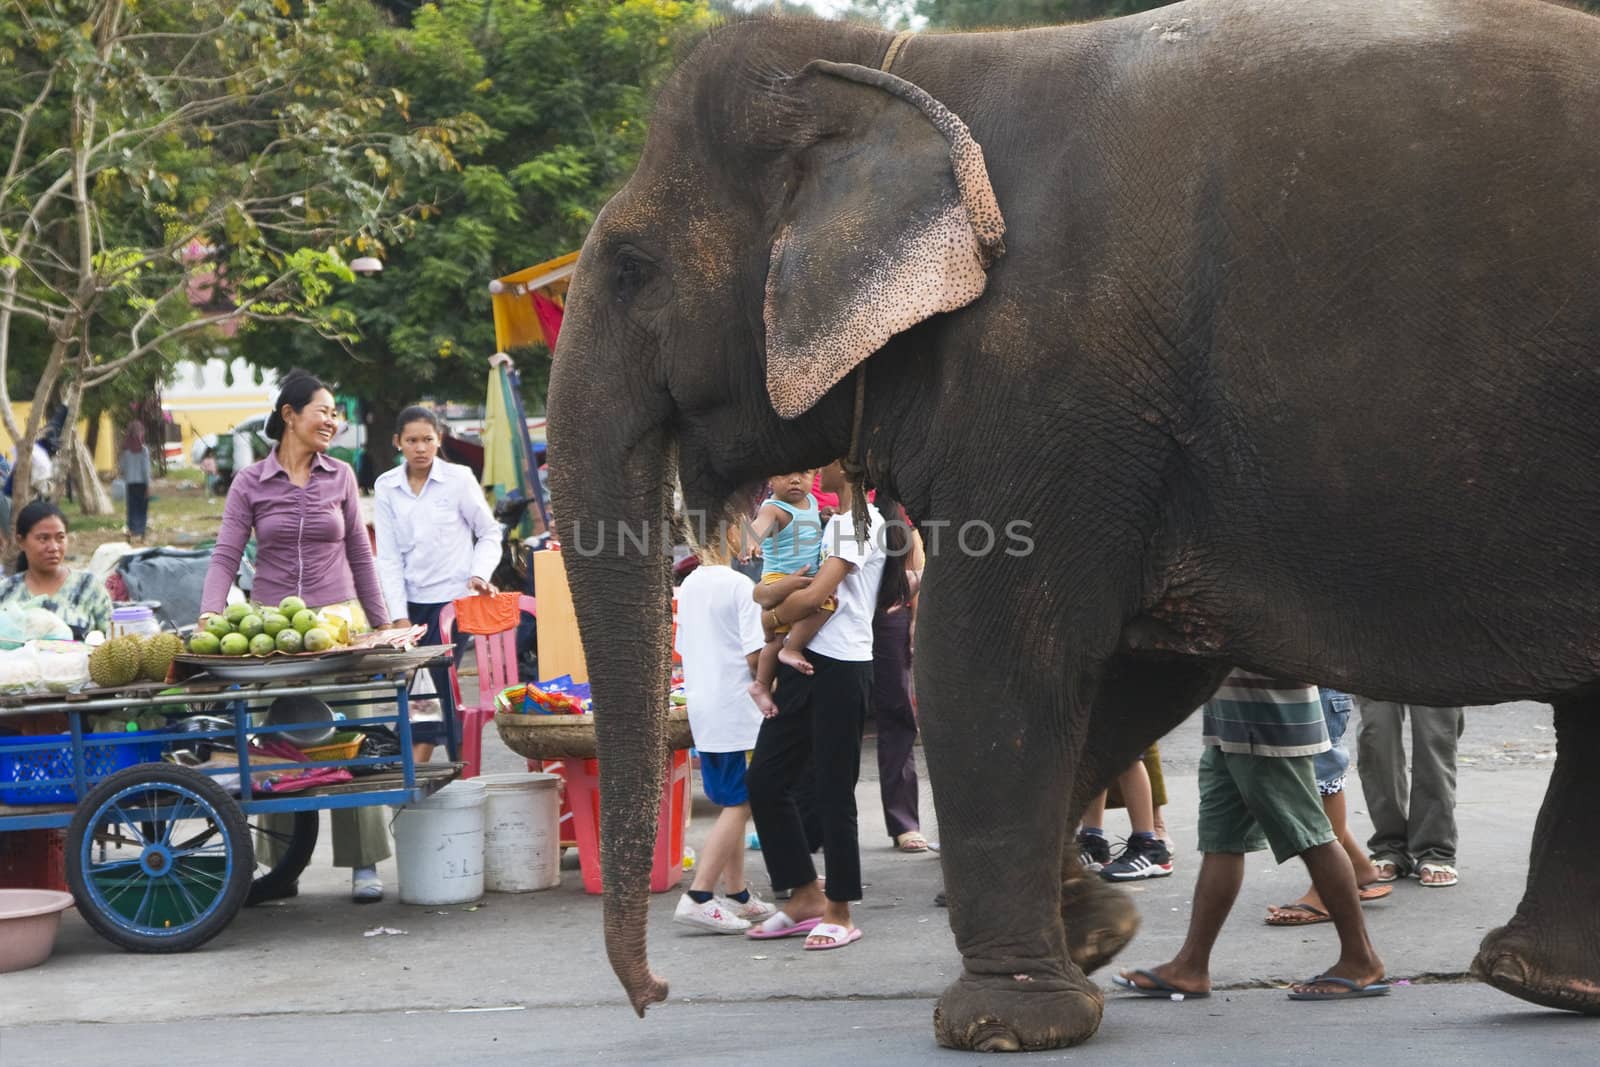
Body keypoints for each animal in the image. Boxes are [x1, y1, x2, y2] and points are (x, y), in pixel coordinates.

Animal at [544, 0, 1600, 1049]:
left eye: (632, 268)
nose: (652, 995)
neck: (902, 69)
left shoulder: (1046, 378)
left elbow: (991, 657)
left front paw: (1008, 1021)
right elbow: (1135, 667)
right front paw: (1096, 928)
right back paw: (1545, 980)